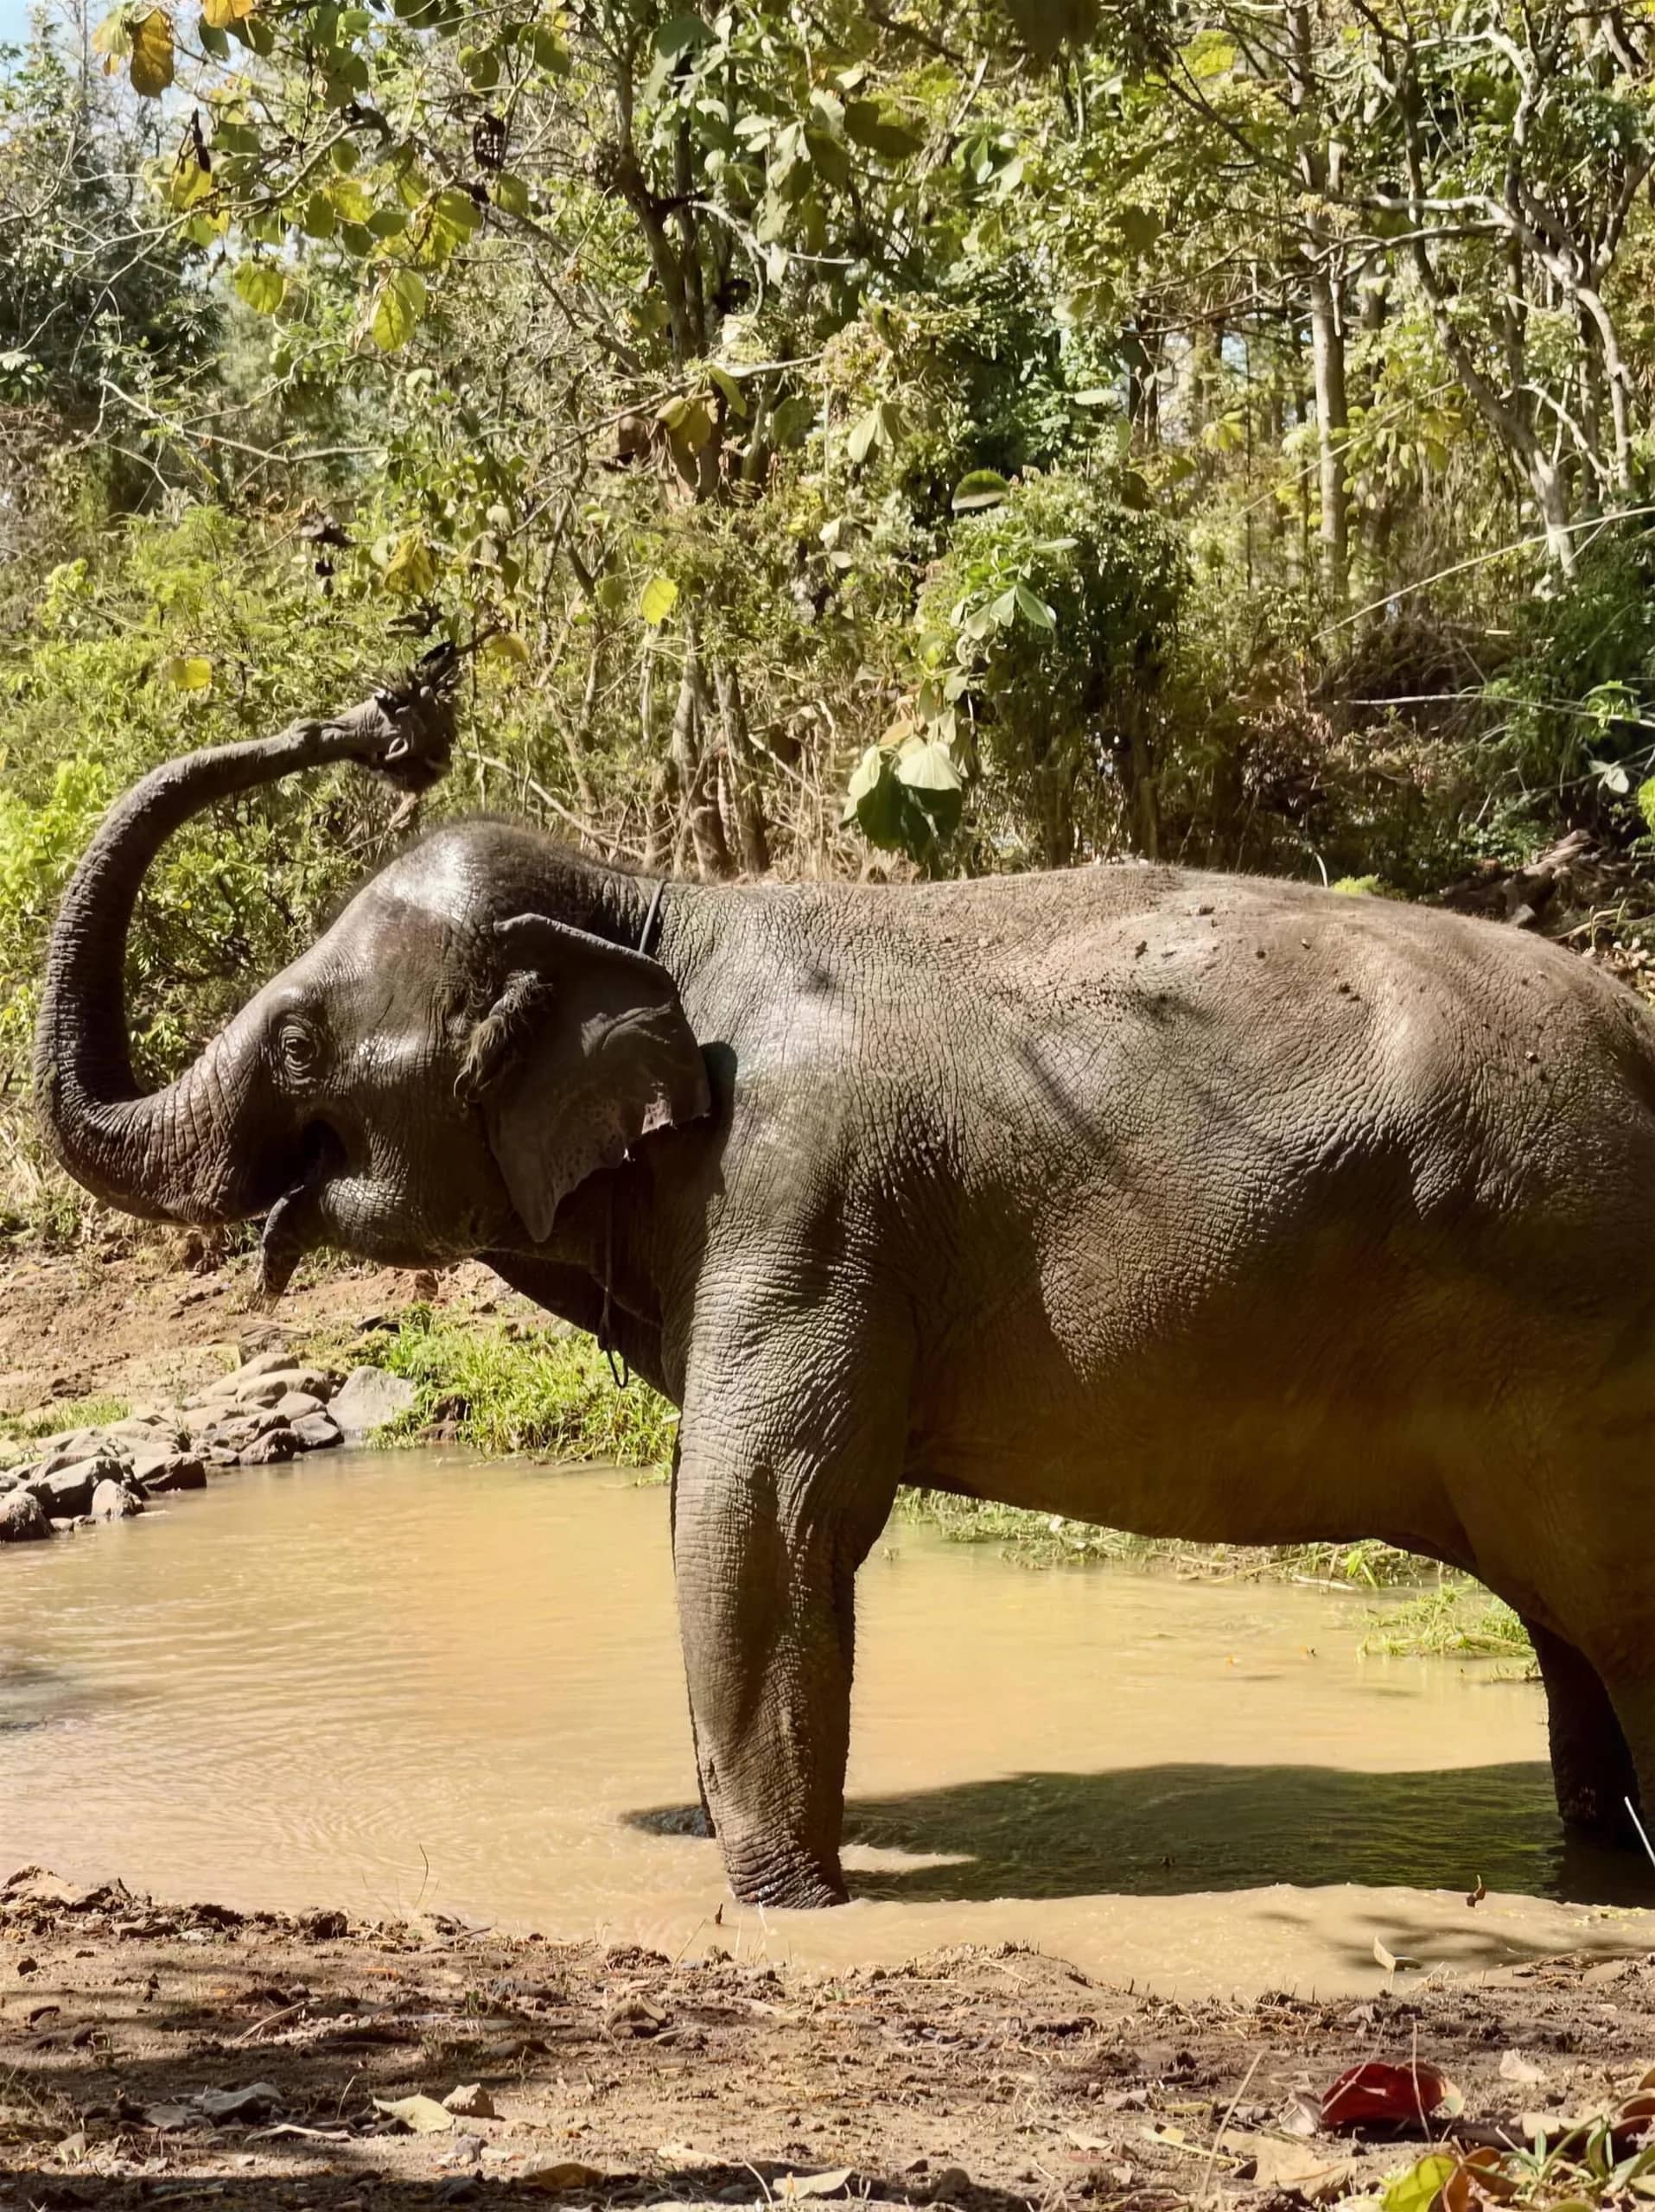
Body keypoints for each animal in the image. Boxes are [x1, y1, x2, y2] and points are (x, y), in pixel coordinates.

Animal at [34, 674, 1655, 1906]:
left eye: (301, 1043)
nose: (377, 721)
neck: (655, 906)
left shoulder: (800, 1196)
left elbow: (755, 1511)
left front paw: (783, 1903)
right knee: (1565, 1633)